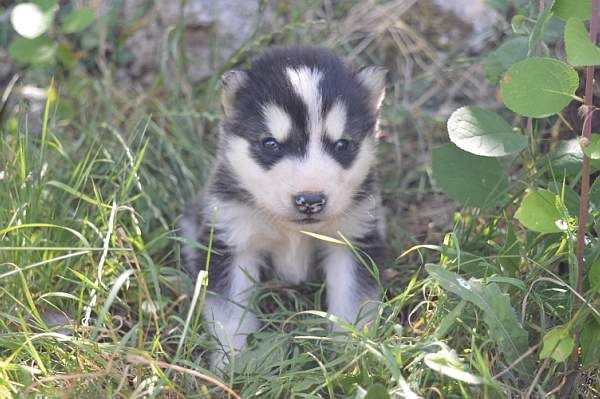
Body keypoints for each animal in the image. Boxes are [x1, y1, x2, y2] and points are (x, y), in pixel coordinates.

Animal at [180, 46, 386, 368]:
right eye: (270, 144)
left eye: (342, 145)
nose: (310, 200)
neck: (292, 231)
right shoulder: (232, 241)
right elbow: (230, 314)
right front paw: (231, 364)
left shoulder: (352, 239)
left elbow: (352, 303)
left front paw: (350, 358)